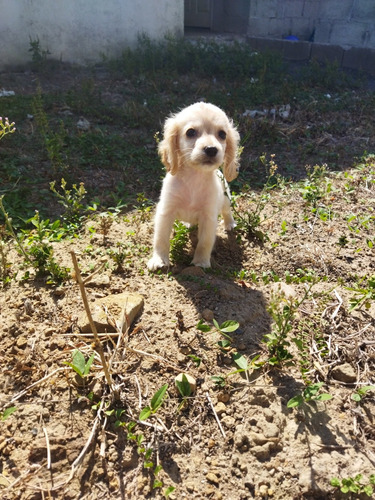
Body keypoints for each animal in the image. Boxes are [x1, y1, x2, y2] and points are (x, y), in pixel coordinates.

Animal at [148, 102, 241, 272]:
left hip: (226, 198)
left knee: (227, 211)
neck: (194, 178)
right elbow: (161, 239)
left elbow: (204, 242)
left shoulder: (208, 217)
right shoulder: (165, 212)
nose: (211, 149)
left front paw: (201, 263)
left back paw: (230, 224)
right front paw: (159, 260)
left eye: (222, 134)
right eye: (190, 132)